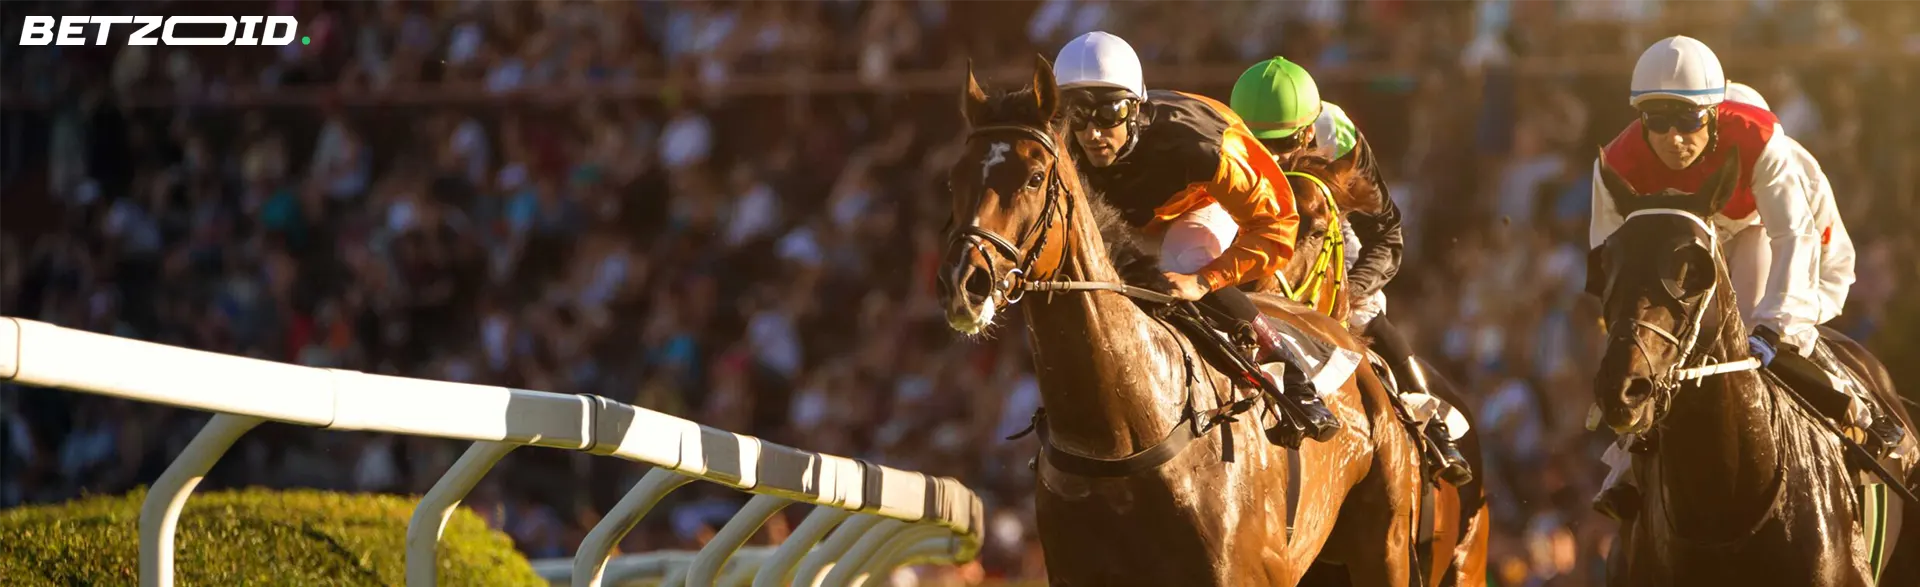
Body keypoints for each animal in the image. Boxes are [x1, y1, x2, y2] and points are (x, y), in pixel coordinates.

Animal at [937, 53, 1428, 586]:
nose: (964, 283)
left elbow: (1272, 219)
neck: (1122, 436)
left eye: (1033, 177)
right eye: (955, 178)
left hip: (1385, 547)